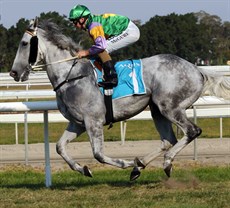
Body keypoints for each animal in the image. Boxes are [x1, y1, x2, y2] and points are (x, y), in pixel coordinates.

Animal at [9, 18, 229, 180]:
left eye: (24, 43)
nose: (13, 73)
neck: (71, 75)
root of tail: (197, 69)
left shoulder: (93, 120)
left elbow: (98, 154)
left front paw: (127, 163)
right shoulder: (78, 123)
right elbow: (60, 147)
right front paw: (83, 169)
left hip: (170, 107)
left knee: (192, 131)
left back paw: (164, 163)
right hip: (157, 109)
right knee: (168, 139)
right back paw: (140, 166)